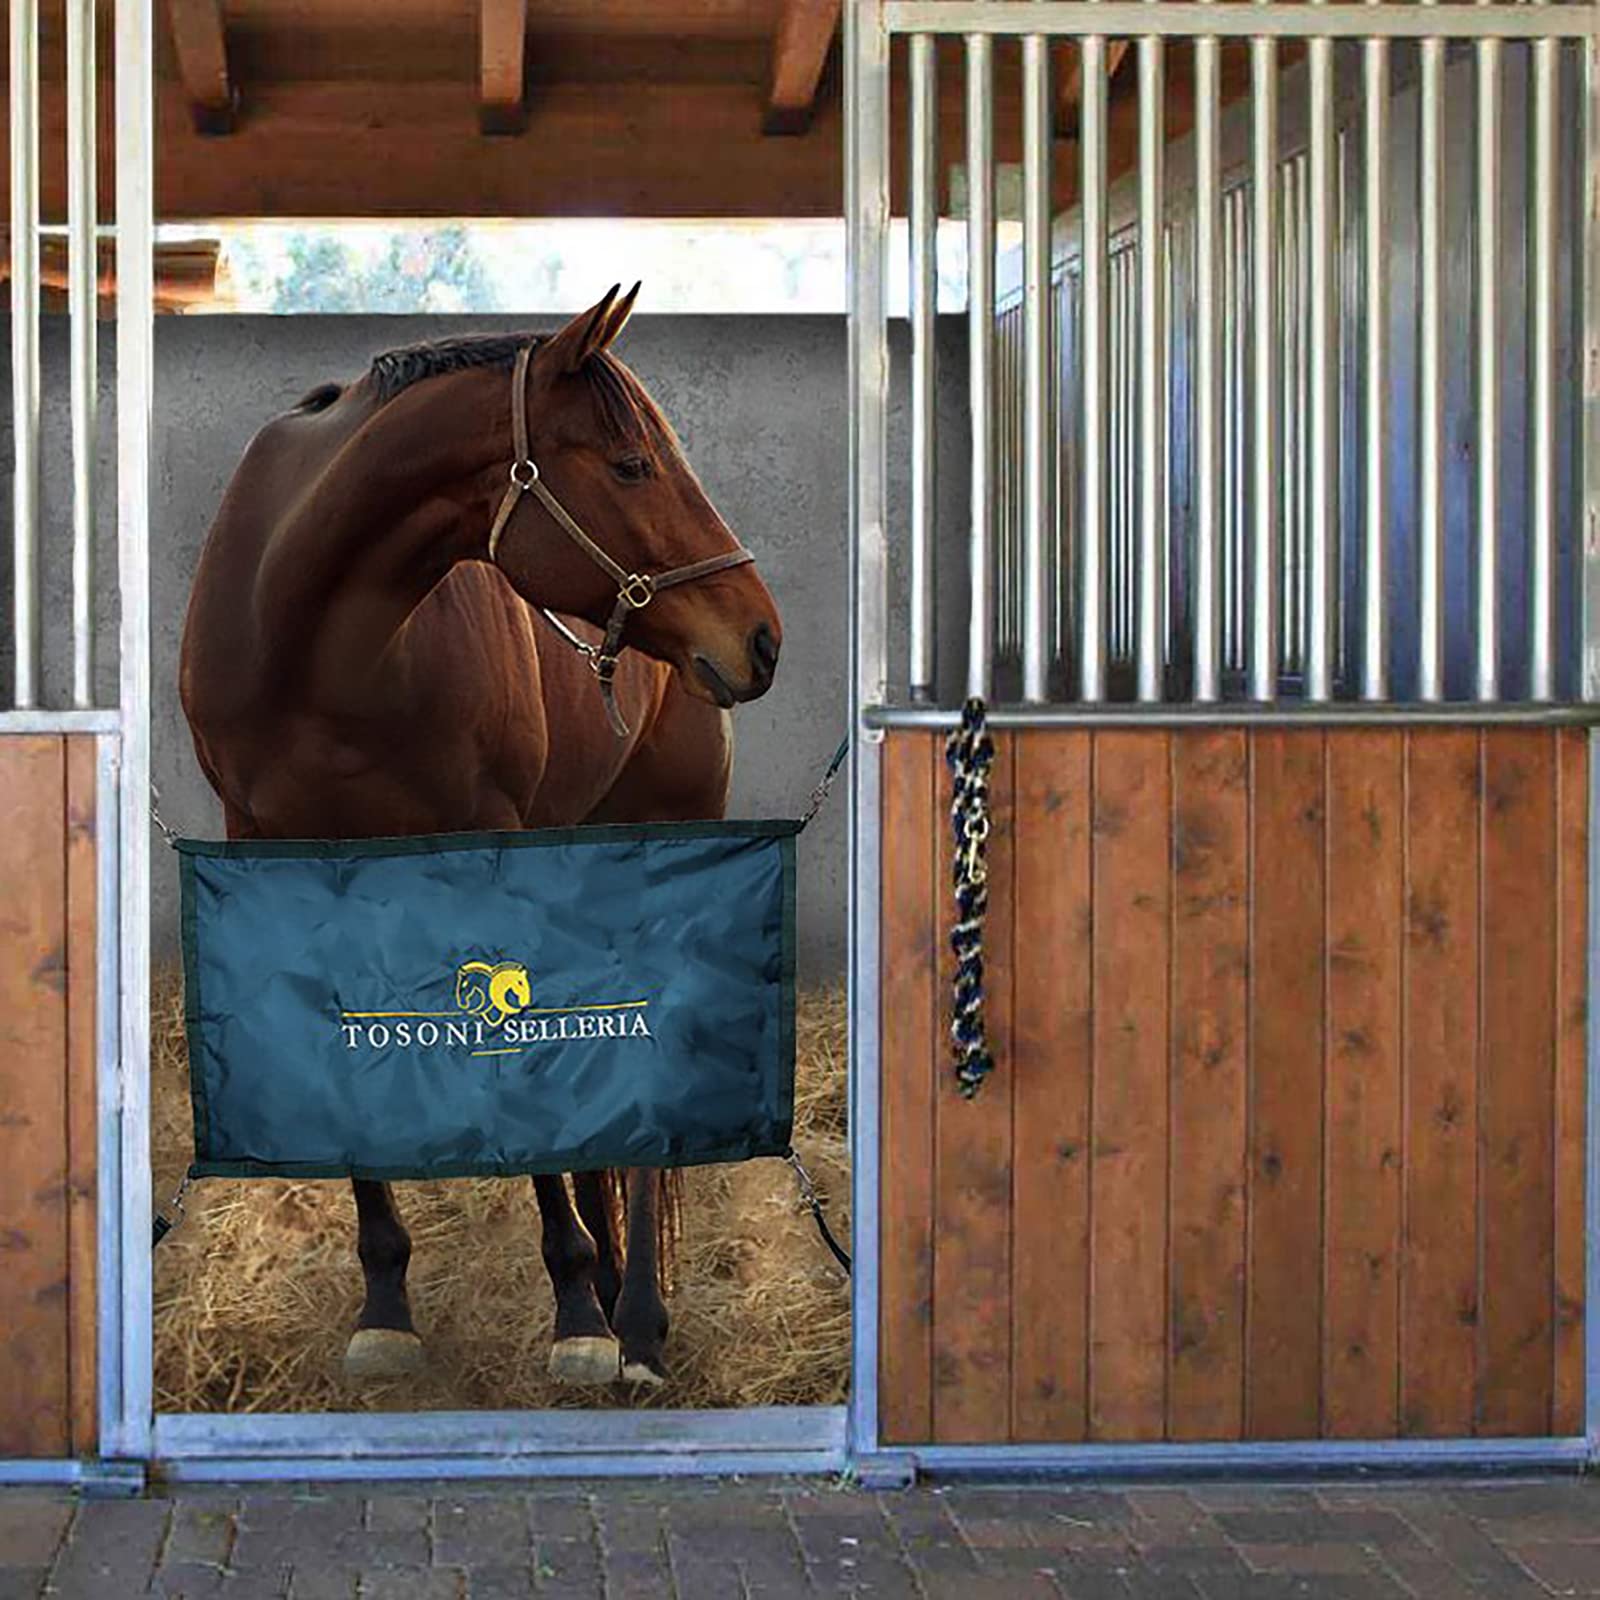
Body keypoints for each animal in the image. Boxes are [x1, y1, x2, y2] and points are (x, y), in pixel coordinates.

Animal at [178, 284, 783, 1388]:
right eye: (631, 464)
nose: (760, 637)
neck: (310, 642)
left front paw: (578, 1316)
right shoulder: (284, 859)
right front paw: (387, 1309)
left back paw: (634, 1323)